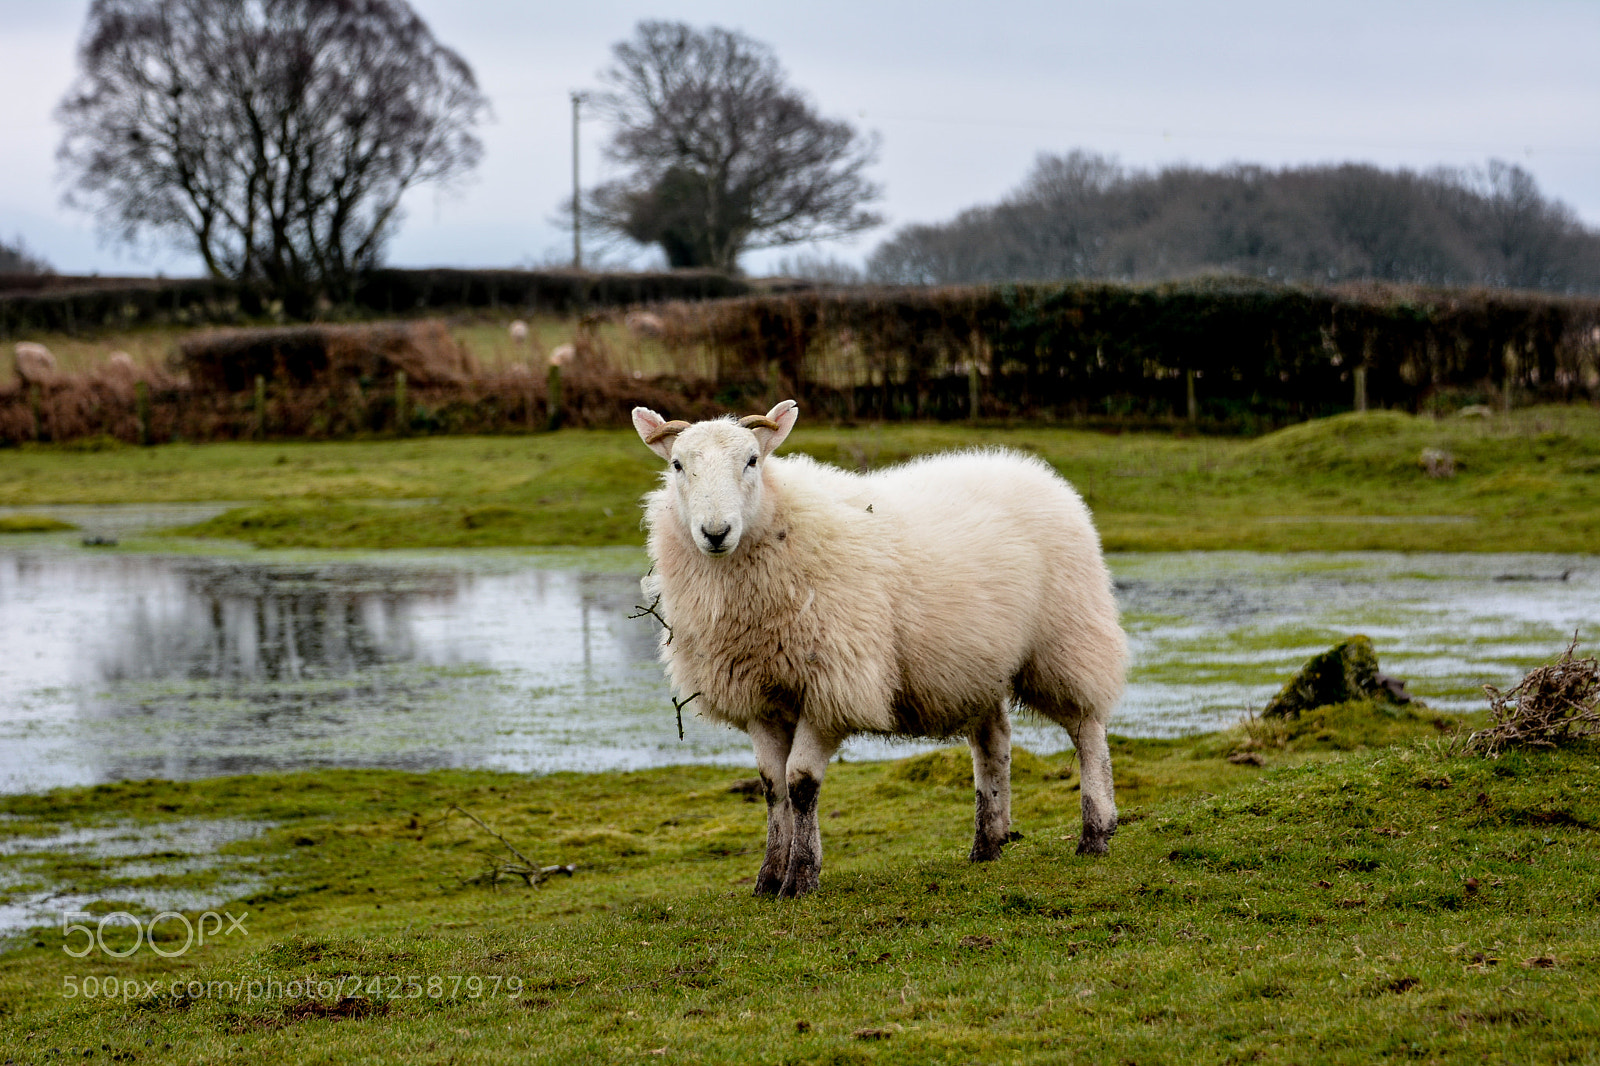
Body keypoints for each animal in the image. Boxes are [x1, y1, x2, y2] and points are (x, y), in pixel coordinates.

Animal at [632, 400, 1127, 898]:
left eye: (752, 460)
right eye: (677, 465)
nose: (715, 532)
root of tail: (1036, 472)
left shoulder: (832, 687)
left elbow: (801, 784)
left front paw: (801, 876)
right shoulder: (759, 699)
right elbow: (773, 787)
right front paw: (769, 876)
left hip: (1065, 640)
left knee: (1087, 729)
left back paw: (1096, 832)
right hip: (978, 666)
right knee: (993, 742)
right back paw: (988, 842)